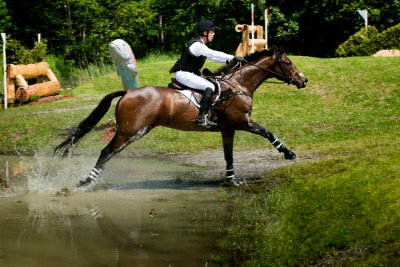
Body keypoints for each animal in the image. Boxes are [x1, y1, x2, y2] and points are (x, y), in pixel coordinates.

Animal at [54, 48, 308, 191]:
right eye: (288, 63)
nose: (303, 80)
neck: (238, 84)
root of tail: (127, 93)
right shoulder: (242, 122)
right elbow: (268, 133)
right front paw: (289, 153)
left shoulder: (228, 128)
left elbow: (229, 154)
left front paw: (232, 180)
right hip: (130, 132)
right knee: (106, 152)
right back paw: (85, 182)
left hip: (136, 131)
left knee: (109, 153)